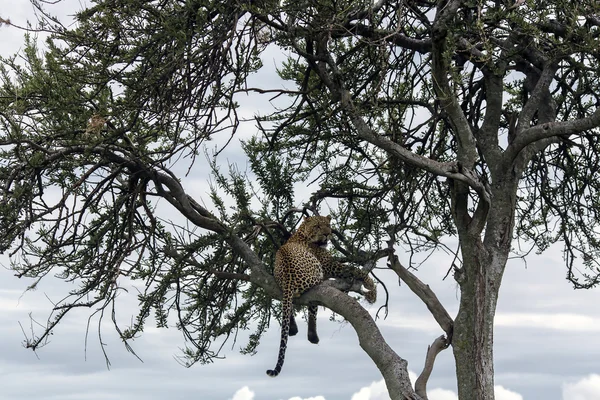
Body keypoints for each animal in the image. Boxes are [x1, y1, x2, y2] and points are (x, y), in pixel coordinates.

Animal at [266, 214, 376, 376]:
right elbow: (355, 269)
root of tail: (288, 280)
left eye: (328, 225)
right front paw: (371, 288)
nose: (327, 234)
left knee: (291, 305)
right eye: (317, 226)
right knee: (313, 304)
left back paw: (296, 330)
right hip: (318, 274)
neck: (302, 232)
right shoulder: (331, 265)